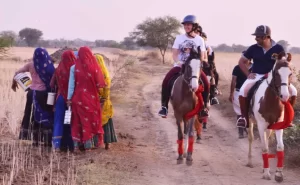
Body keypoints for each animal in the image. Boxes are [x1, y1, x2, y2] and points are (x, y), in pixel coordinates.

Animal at [247, 52, 294, 182]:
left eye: (290, 73)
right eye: (277, 73)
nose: (285, 96)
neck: (271, 100)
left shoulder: (278, 125)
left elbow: (280, 147)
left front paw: (278, 174)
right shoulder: (261, 125)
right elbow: (264, 148)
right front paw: (267, 173)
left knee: (267, 139)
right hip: (250, 121)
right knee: (251, 138)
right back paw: (250, 162)